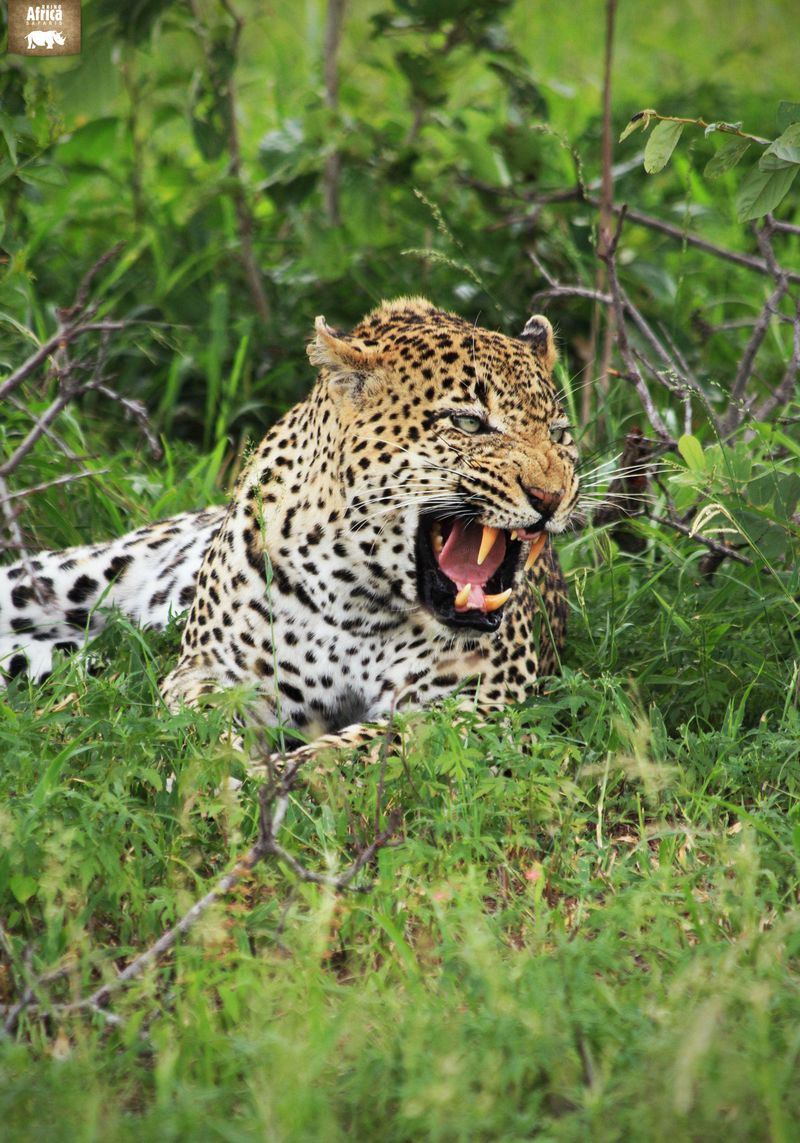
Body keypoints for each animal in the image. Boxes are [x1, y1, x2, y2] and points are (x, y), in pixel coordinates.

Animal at [0, 298, 579, 762]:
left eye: (558, 433)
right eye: (468, 424)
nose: (551, 497)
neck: (363, 601)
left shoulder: (477, 708)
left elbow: (354, 750)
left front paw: (276, 783)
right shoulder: (213, 672)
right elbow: (205, 721)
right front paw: (224, 772)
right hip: (55, 579)